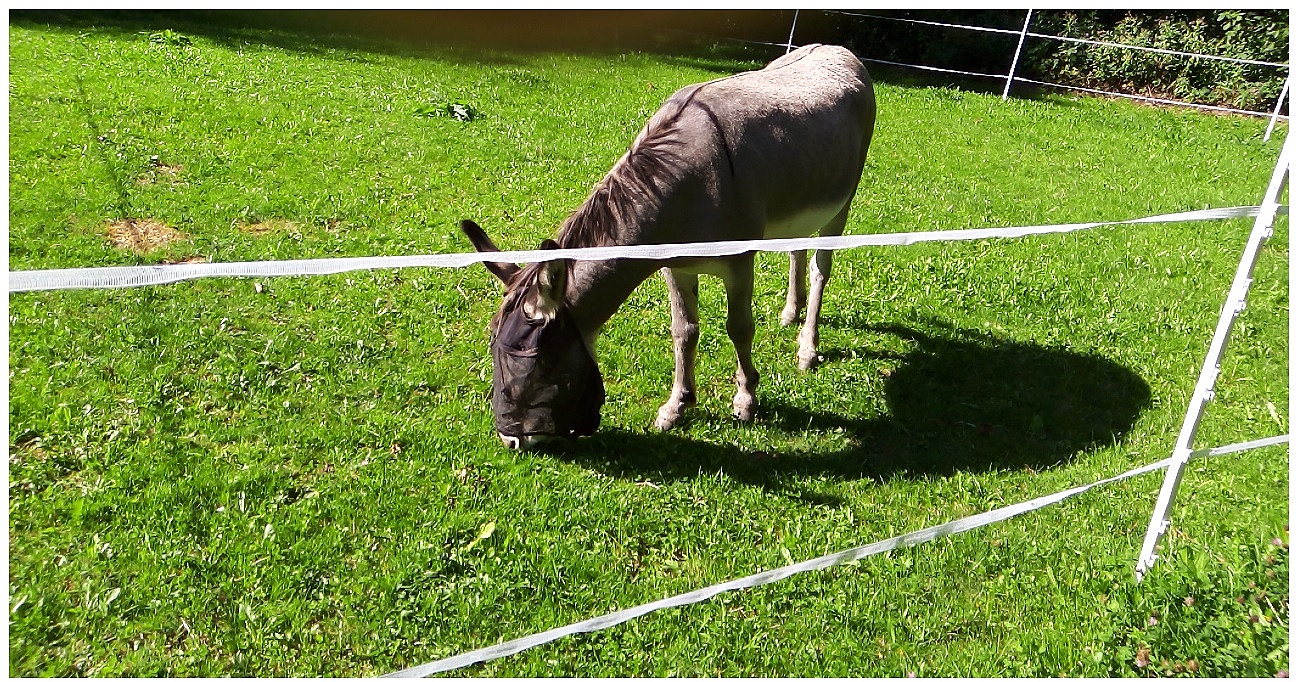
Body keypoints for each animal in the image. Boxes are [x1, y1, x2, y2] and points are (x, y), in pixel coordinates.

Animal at [463, 44, 877, 450]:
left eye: (539, 360)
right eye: (493, 347)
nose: (509, 439)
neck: (687, 181)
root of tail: (837, 49)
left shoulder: (740, 263)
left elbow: (739, 328)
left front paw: (746, 400)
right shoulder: (674, 265)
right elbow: (684, 331)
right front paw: (677, 406)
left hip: (843, 200)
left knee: (821, 267)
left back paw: (807, 347)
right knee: (796, 248)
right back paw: (791, 312)